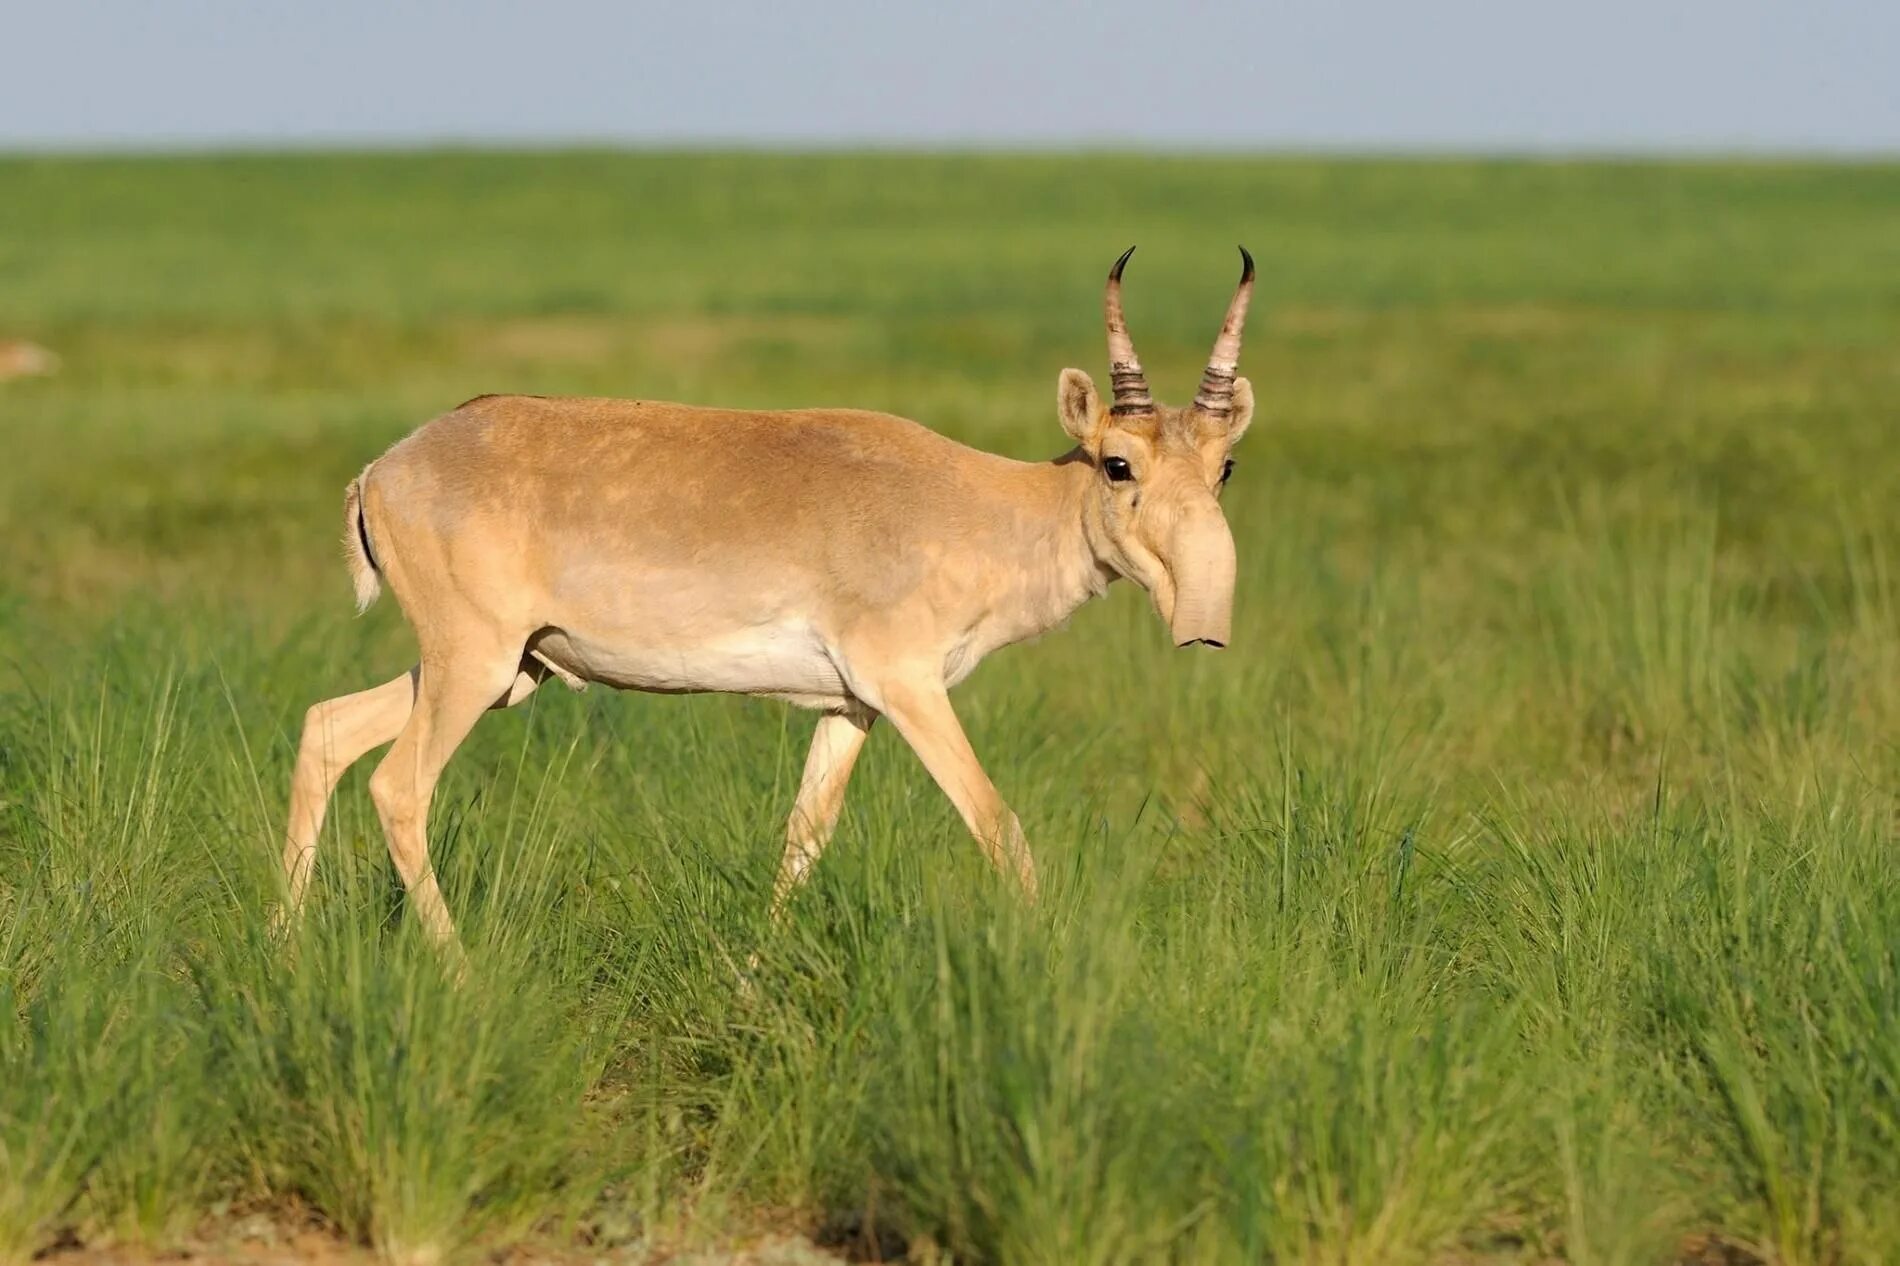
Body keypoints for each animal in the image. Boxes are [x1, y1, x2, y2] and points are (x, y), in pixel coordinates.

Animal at [281, 249, 1254, 958]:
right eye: (1118, 463)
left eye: (1225, 466)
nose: (1205, 626)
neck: (984, 503)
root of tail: (383, 469)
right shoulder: (911, 691)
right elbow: (998, 824)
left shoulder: (850, 707)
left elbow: (803, 837)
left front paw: (752, 973)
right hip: (474, 667)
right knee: (397, 785)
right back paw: (460, 972)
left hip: (508, 671)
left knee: (327, 728)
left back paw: (284, 946)